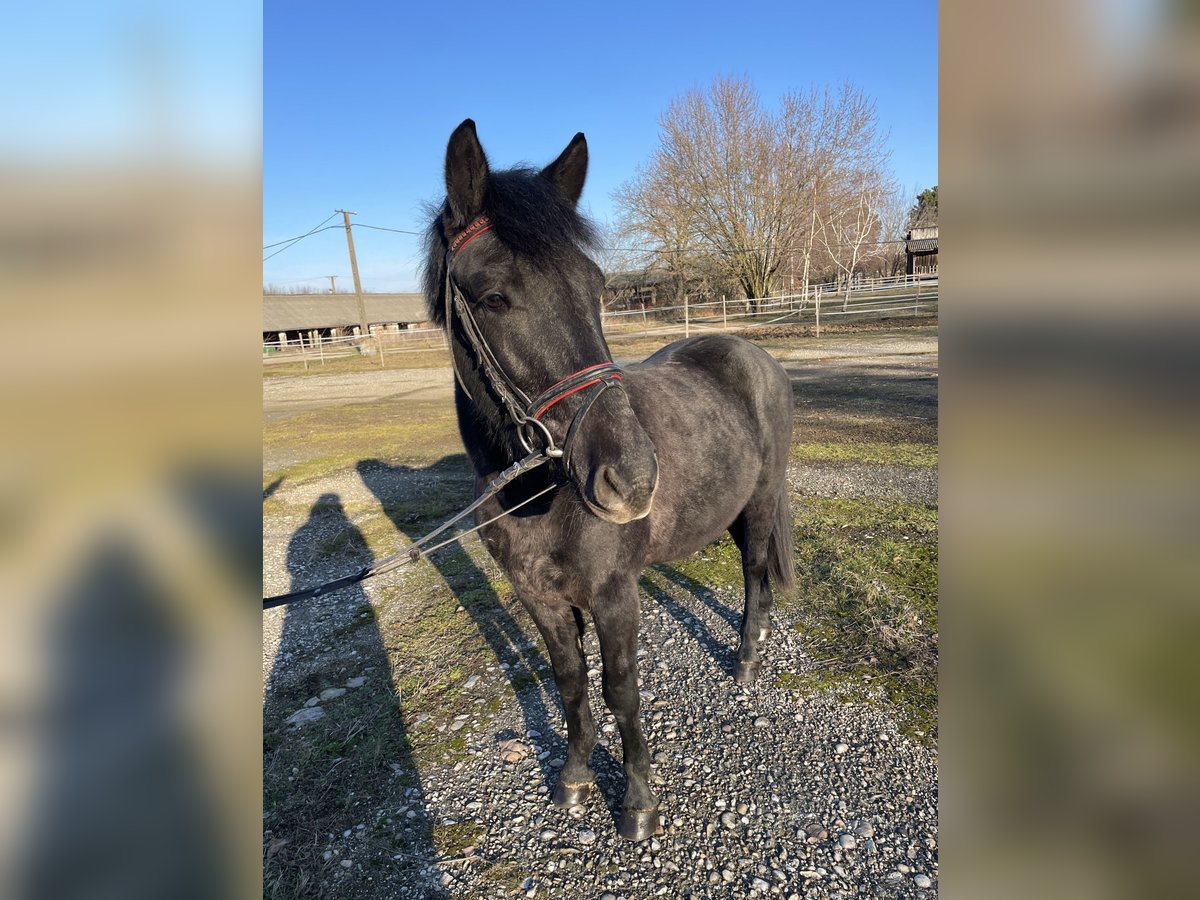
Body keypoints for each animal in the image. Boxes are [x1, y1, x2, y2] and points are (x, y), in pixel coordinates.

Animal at [422, 120, 796, 844]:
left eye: (595, 286)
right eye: (493, 297)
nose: (633, 478)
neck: (539, 497)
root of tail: (754, 354)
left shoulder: (615, 596)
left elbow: (621, 688)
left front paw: (638, 801)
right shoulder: (539, 599)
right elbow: (570, 681)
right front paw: (573, 778)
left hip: (763, 498)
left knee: (755, 567)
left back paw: (746, 656)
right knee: (753, 560)